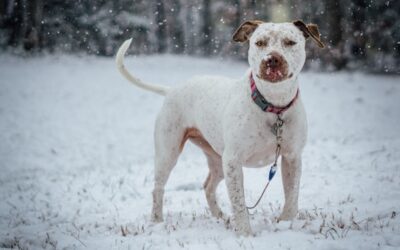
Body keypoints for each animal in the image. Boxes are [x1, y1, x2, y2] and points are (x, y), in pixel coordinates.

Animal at [115, 20, 322, 236]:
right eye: (260, 43)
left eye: (290, 42)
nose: (272, 59)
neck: (274, 106)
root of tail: (172, 90)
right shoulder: (233, 161)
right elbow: (239, 202)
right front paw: (245, 234)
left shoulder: (292, 157)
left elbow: (292, 194)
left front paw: (286, 224)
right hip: (168, 153)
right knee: (158, 188)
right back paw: (157, 221)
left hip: (217, 160)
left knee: (208, 186)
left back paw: (220, 217)